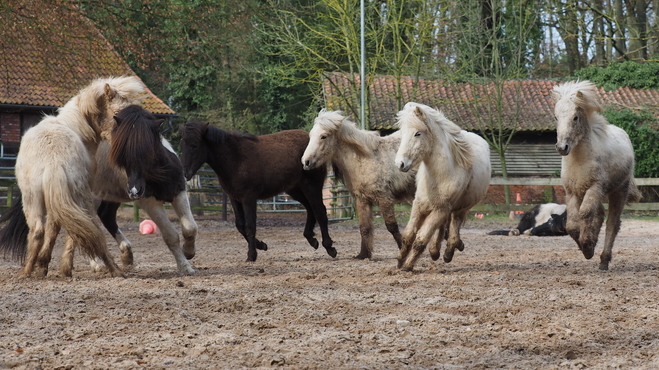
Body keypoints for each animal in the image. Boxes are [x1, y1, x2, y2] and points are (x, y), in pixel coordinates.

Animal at [4, 76, 144, 278]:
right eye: (117, 114)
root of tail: (54, 160)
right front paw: (53, 266)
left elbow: (55, 228)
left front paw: (44, 265)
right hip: (81, 197)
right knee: (90, 230)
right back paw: (112, 269)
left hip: (32, 199)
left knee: (38, 231)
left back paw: (26, 271)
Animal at [179, 120, 336, 262]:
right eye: (182, 145)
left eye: (195, 145)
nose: (185, 173)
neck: (235, 158)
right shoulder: (234, 198)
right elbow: (240, 225)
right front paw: (261, 245)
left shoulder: (248, 198)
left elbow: (250, 226)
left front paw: (252, 255)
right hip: (295, 190)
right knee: (310, 209)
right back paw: (312, 239)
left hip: (311, 186)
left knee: (320, 211)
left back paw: (329, 247)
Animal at [302, 110, 416, 260]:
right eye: (310, 135)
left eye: (323, 136)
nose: (305, 162)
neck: (363, 160)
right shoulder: (361, 200)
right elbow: (364, 228)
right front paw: (363, 254)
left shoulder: (384, 198)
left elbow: (391, 226)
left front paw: (403, 249)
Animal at [394, 102, 492, 270]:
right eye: (403, 133)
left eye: (417, 134)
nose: (400, 163)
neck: (440, 176)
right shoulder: (418, 206)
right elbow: (408, 235)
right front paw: (400, 261)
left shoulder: (441, 209)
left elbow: (420, 240)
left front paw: (408, 266)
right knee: (443, 228)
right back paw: (438, 250)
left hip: (459, 208)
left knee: (454, 224)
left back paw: (450, 250)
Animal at [556, 81, 640, 270]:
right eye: (556, 118)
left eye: (575, 118)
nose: (562, 147)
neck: (580, 161)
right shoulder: (572, 191)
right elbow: (572, 225)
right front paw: (587, 246)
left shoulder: (595, 187)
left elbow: (586, 213)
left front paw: (588, 247)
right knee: (600, 214)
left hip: (618, 191)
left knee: (612, 224)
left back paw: (604, 260)